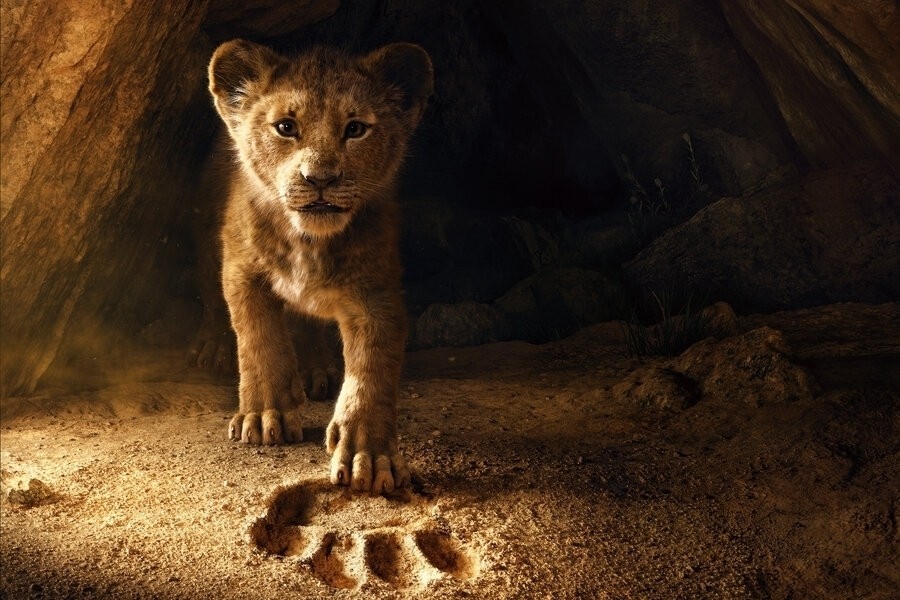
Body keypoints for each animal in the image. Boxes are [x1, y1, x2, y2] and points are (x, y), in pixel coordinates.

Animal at [200, 39, 433, 494]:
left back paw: (315, 369)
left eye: (356, 129)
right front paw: (265, 415)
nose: (319, 179)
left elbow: (371, 370)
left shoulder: (376, 293)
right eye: (285, 127)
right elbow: (259, 340)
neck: (309, 241)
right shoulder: (241, 270)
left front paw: (368, 455)